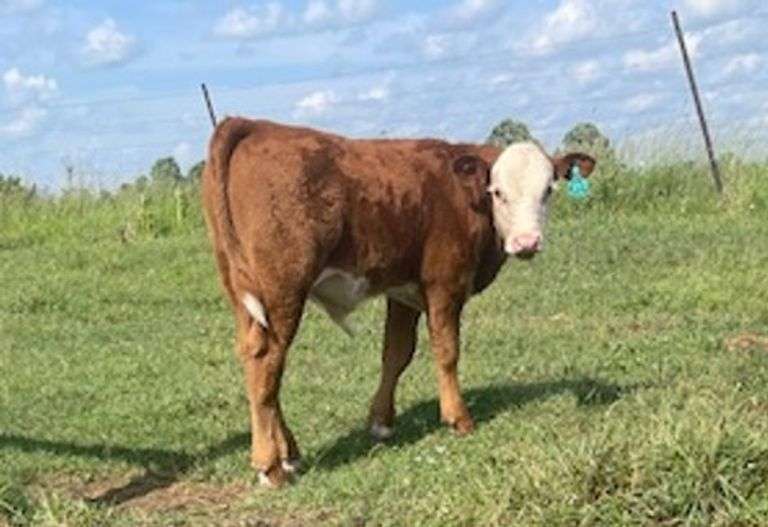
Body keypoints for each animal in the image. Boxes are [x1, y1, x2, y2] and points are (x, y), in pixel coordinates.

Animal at [201, 118, 596, 487]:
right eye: (497, 192)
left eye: (548, 190)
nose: (527, 242)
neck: (463, 196)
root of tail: (252, 124)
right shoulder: (444, 283)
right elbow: (447, 351)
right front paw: (458, 418)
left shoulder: (402, 290)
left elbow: (396, 353)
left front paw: (381, 422)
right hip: (283, 290)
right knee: (267, 360)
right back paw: (270, 465)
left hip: (244, 295)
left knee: (256, 359)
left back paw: (289, 453)